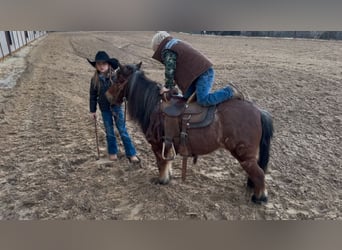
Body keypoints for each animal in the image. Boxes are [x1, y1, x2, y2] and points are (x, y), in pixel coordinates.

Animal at [105, 62, 274, 203]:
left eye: (118, 79)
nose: (107, 96)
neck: (154, 106)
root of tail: (258, 111)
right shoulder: (167, 144)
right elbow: (167, 162)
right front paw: (168, 177)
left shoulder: (157, 145)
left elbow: (161, 163)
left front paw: (162, 180)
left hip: (244, 155)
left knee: (259, 174)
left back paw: (259, 198)